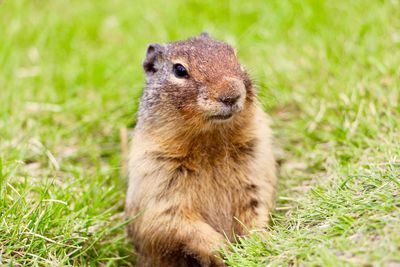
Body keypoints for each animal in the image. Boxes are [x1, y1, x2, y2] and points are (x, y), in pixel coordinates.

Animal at [126, 33, 276, 267]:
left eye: (235, 56)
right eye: (179, 70)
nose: (231, 94)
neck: (210, 143)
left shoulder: (256, 169)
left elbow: (255, 208)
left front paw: (260, 242)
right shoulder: (157, 182)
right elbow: (176, 224)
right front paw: (226, 251)